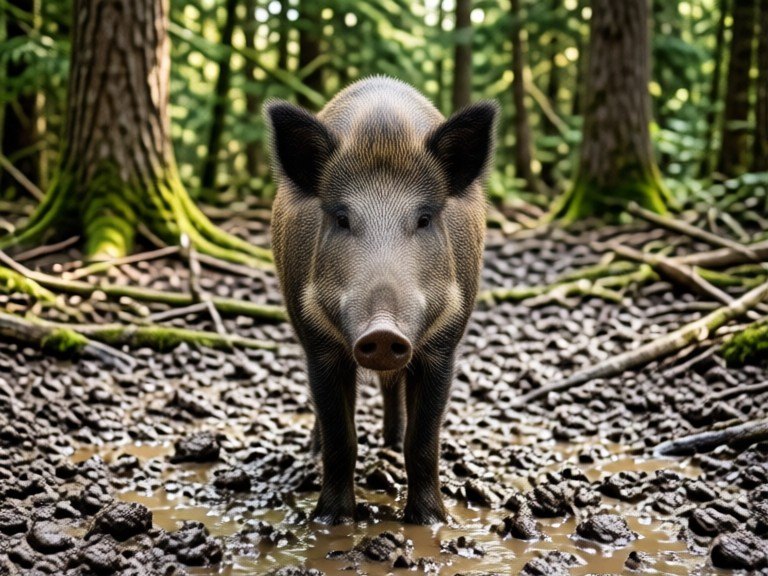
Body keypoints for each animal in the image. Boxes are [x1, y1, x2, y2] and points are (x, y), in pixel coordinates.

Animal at [265, 76, 497, 525]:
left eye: (424, 218)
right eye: (342, 218)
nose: (384, 331)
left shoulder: (443, 347)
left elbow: (422, 441)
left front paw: (431, 521)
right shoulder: (319, 345)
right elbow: (341, 437)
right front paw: (332, 520)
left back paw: (389, 441)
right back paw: (314, 450)